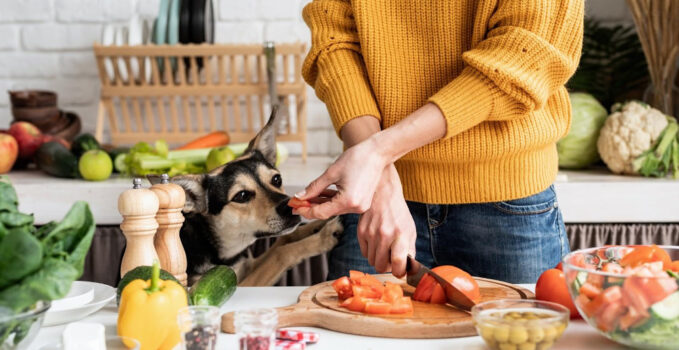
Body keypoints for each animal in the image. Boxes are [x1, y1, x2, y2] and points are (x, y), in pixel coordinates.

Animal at [161, 108, 342, 286]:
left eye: (277, 179)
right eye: (241, 196)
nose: (289, 207)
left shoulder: (247, 265)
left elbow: (283, 239)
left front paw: (318, 225)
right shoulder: (236, 283)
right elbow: (281, 253)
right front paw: (323, 237)